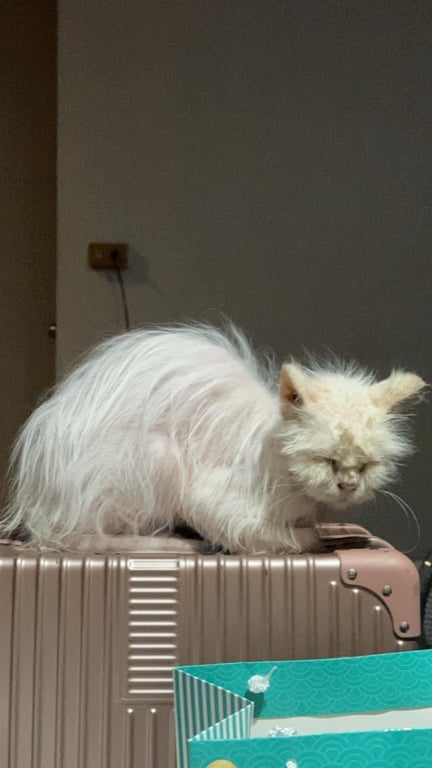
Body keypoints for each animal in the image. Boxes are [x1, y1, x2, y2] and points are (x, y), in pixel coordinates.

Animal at [1, 323, 426, 553]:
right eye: (325, 460)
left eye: (366, 466)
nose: (347, 485)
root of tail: (36, 505)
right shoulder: (211, 501)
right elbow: (290, 538)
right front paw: (318, 538)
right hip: (160, 456)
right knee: (91, 536)